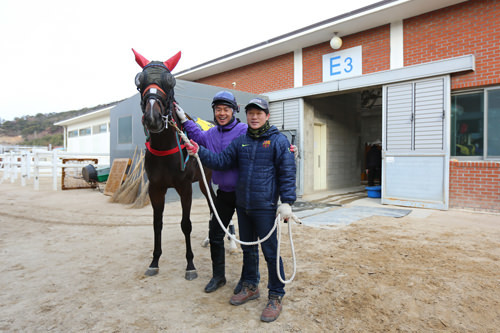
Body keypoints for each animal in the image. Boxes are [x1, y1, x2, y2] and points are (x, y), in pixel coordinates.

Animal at [132, 48, 214, 278]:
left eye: (170, 82)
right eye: (140, 82)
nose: (153, 117)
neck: (164, 148)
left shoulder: (185, 187)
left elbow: (186, 224)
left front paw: (190, 265)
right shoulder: (155, 188)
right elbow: (156, 224)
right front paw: (154, 261)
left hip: (207, 180)